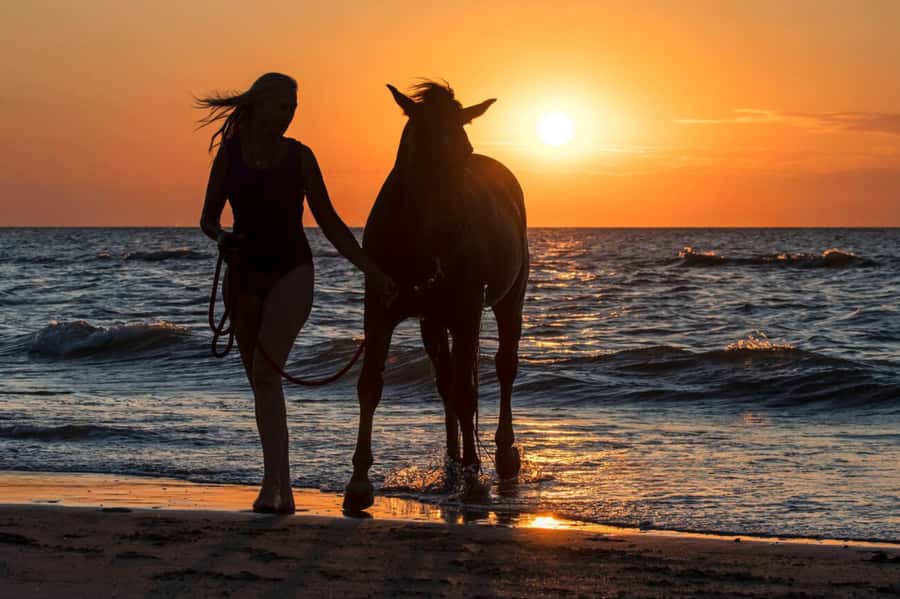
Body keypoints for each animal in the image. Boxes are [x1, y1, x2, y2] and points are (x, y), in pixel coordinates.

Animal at [343, 81, 529, 511]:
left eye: (464, 150)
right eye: (420, 148)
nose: (453, 230)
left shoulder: (467, 311)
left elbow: (466, 394)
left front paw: (475, 478)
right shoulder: (379, 310)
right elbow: (370, 385)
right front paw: (358, 481)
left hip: (506, 301)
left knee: (502, 368)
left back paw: (501, 455)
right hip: (433, 319)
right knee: (445, 380)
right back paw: (452, 461)